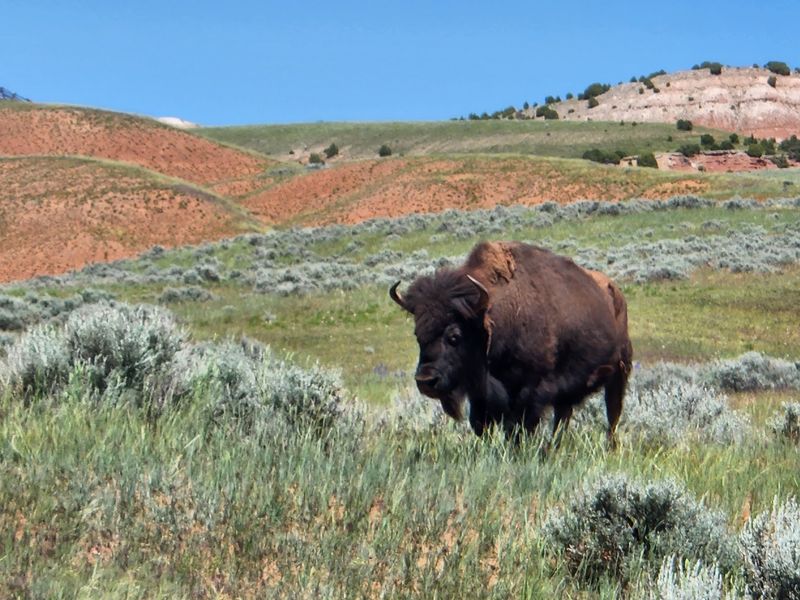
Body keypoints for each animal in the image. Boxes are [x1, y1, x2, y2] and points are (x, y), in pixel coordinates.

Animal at [390, 241, 633, 444]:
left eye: (454, 336)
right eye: (418, 335)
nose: (425, 380)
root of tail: (615, 292)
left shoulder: (532, 391)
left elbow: (519, 427)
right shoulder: (481, 396)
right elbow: (482, 425)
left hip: (619, 373)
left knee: (612, 413)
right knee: (564, 418)